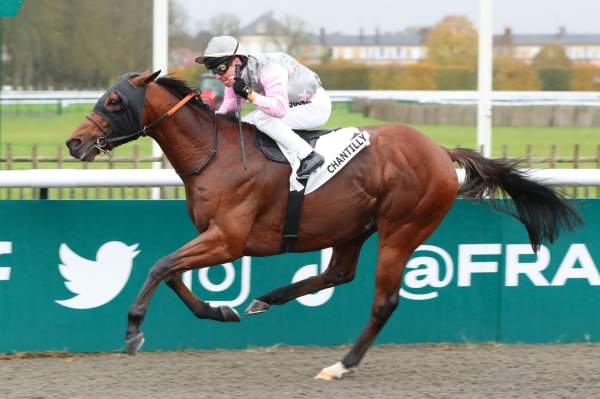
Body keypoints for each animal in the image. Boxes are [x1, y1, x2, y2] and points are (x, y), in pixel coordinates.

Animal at [65, 72, 580, 382]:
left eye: (114, 100)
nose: (74, 143)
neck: (215, 155)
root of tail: (439, 151)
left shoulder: (228, 240)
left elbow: (159, 266)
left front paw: (133, 330)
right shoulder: (214, 237)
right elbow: (172, 273)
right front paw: (221, 310)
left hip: (402, 229)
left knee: (384, 300)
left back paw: (342, 364)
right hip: (352, 228)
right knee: (338, 273)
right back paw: (266, 299)